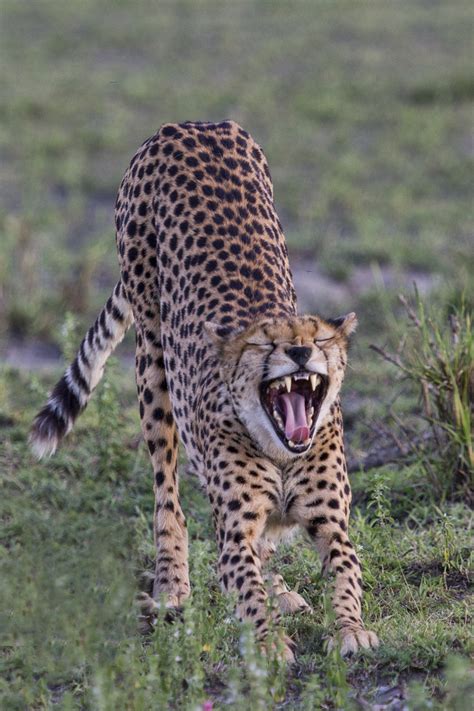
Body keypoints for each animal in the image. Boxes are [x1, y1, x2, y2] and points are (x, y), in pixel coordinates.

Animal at [30, 121, 378, 660]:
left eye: (319, 339)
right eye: (264, 344)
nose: (301, 353)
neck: (281, 449)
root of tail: (191, 124)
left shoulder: (333, 524)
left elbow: (344, 573)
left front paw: (350, 628)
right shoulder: (233, 532)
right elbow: (245, 585)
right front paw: (267, 643)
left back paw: (283, 592)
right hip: (152, 359)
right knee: (166, 495)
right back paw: (173, 585)